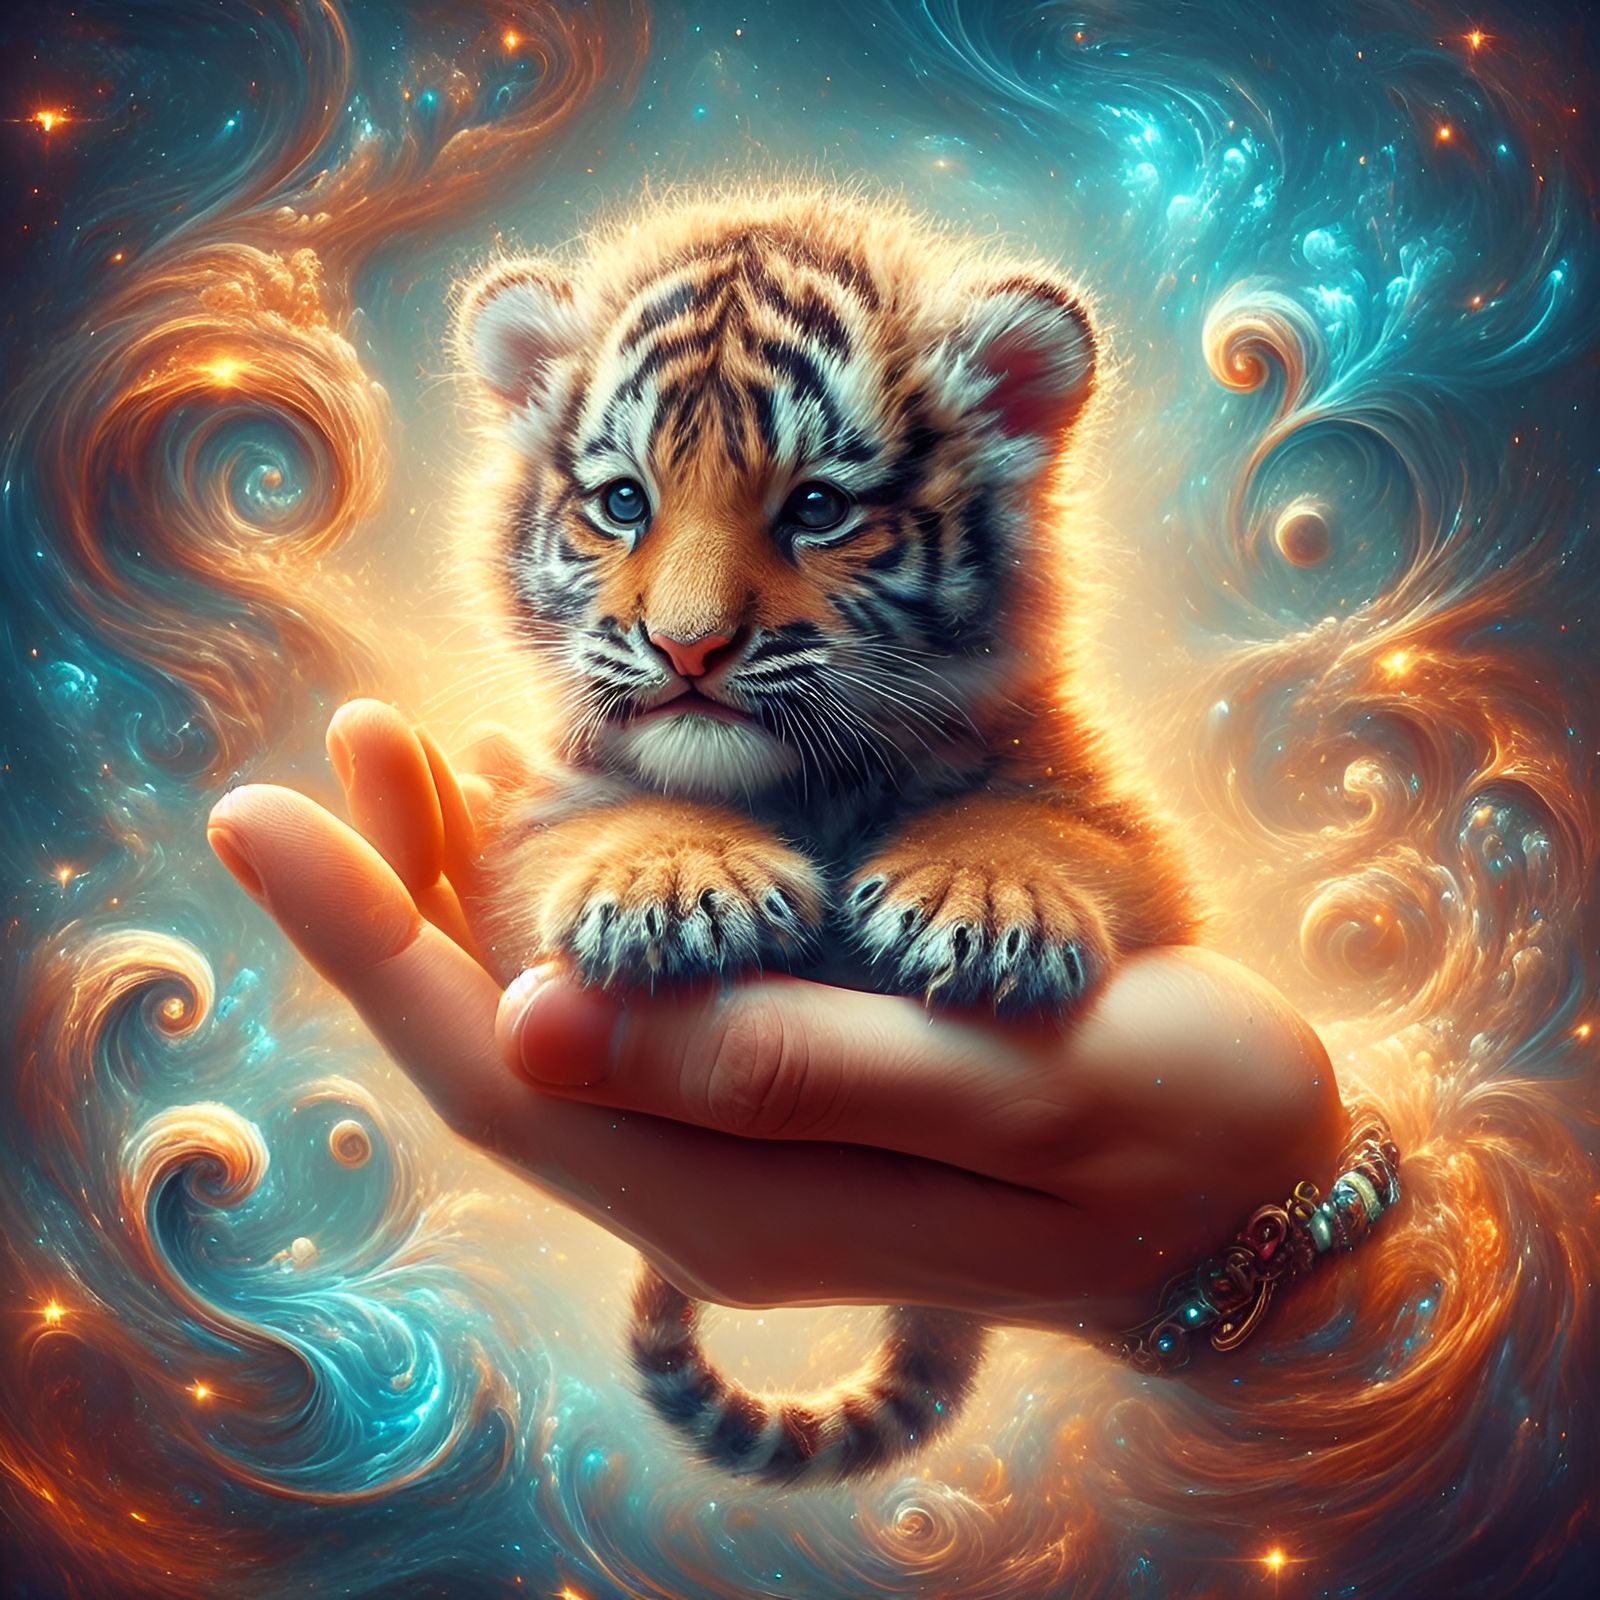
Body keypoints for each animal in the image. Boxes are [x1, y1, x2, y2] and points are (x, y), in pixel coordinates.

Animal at [453, 188, 1198, 1486]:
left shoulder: (1121, 824)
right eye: (623, 502)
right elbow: (611, 818)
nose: (686, 647)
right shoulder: (541, 807)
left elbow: (1030, 818)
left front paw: (981, 903)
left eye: (817, 508)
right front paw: (677, 886)